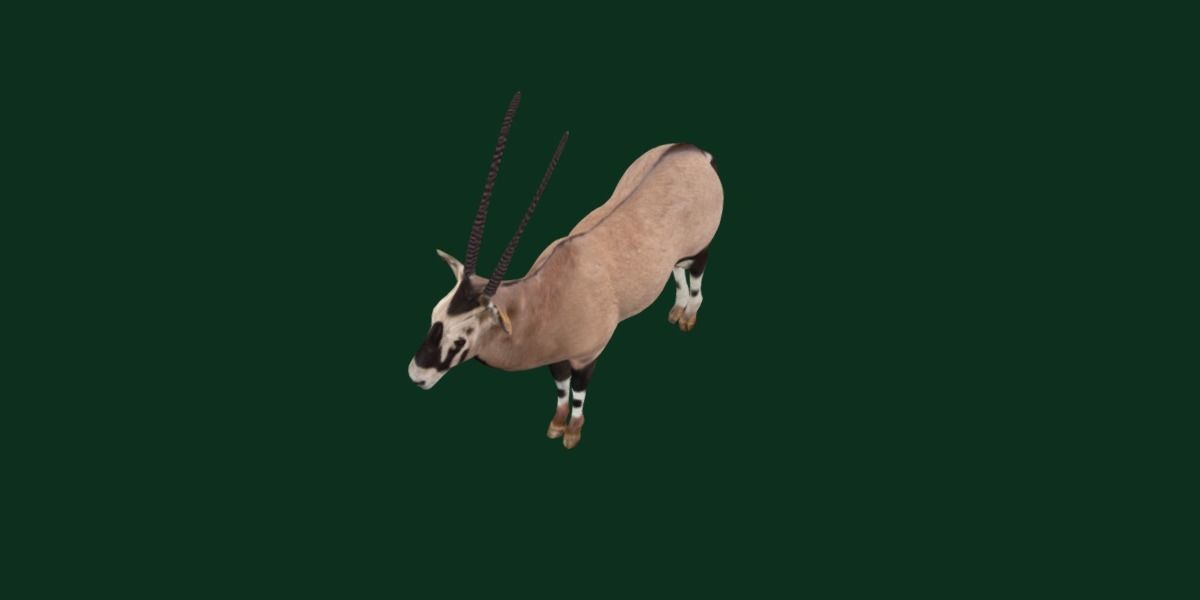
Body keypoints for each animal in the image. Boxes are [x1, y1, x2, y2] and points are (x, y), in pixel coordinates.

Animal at [407, 92, 723, 449]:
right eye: (434, 316)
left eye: (462, 338)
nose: (417, 376)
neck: (544, 297)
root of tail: (692, 151)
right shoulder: (556, 358)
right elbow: (561, 389)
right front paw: (557, 424)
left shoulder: (587, 356)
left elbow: (578, 393)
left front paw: (572, 431)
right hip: (674, 256)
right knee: (677, 271)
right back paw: (677, 309)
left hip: (700, 248)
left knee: (696, 278)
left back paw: (688, 315)